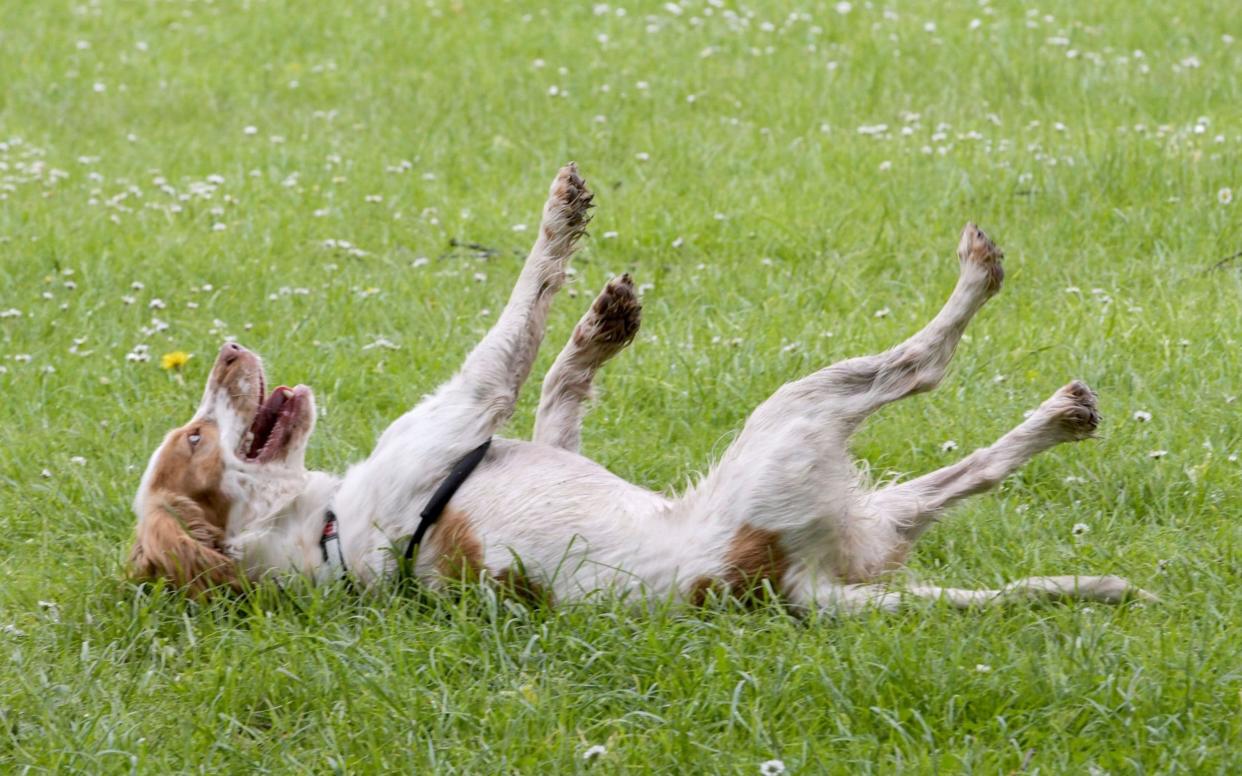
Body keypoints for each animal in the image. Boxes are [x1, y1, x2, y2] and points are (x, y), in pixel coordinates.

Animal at [131, 165, 1147, 610]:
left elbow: (559, 380)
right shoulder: (469, 405)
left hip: (874, 515)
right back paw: (999, 306)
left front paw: (602, 322)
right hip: (795, 420)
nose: (225, 350)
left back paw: (1079, 520)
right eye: (195, 440)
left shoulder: (526, 433)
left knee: (971, 473)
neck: (329, 528)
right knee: (921, 366)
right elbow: (522, 313)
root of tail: (781, 585)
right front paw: (560, 221)